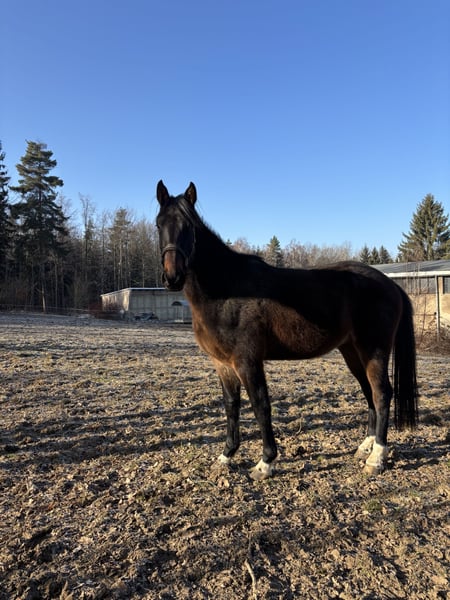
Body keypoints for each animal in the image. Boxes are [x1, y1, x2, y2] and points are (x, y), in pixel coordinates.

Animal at [155, 180, 418, 480]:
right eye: (158, 224)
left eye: (189, 226)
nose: (172, 277)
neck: (227, 290)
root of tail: (391, 285)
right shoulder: (222, 363)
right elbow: (231, 406)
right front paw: (226, 455)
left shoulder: (247, 361)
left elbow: (261, 406)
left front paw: (265, 462)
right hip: (352, 351)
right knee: (369, 392)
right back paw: (366, 447)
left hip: (374, 349)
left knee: (382, 393)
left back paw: (377, 458)